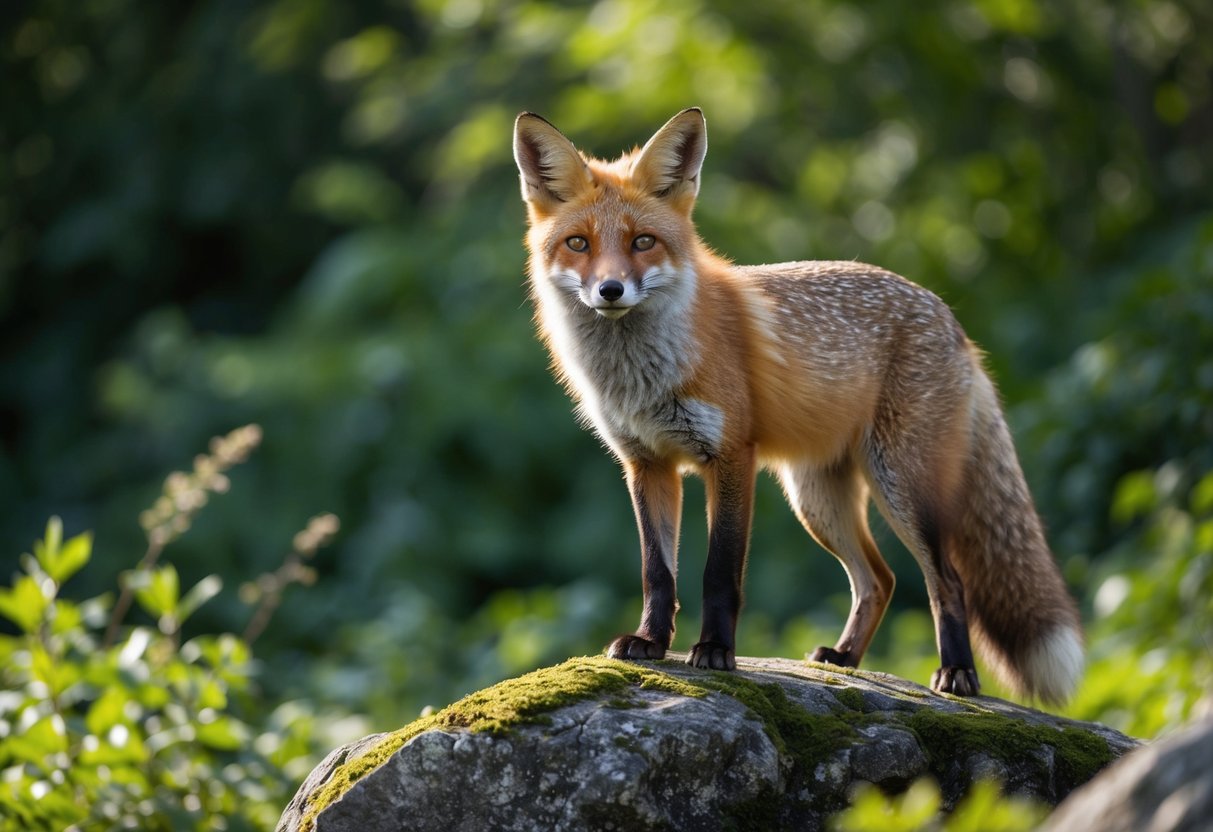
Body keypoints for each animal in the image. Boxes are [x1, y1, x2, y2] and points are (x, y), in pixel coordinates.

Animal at [512, 107, 1083, 704]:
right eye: (578, 244)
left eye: (643, 241)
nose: (610, 290)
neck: (642, 376)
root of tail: (953, 321)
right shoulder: (647, 464)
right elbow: (657, 572)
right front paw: (649, 641)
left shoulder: (730, 455)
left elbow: (720, 572)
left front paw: (714, 652)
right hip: (817, 500)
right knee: (879, 579)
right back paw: (845, 658)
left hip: (902, 486)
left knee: (946, 580)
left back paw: (957, 674)